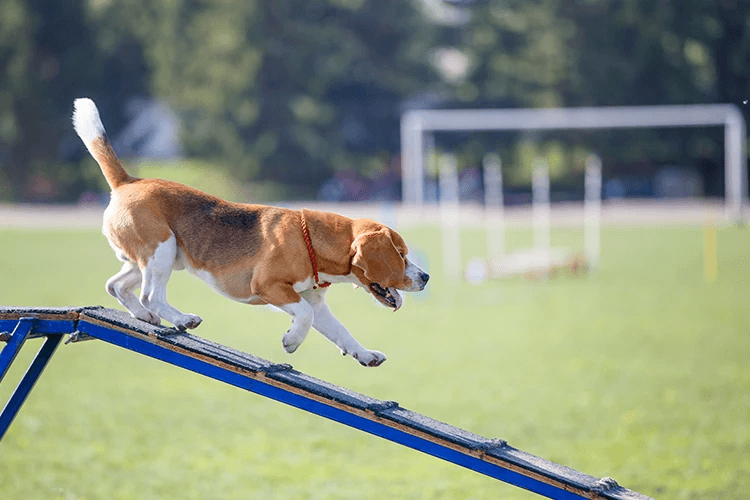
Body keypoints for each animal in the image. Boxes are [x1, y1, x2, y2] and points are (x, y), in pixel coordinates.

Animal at [76, 97, 432, 366]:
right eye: (401, 254)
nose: (426, 277)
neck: (310, 241)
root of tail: (128, 181)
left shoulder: (314, 302)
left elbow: (338, 329)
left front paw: (364, 354)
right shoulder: (269, 286)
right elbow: (304, 316)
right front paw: (292, 341)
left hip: (156, 258)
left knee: (116, 286)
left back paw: (145, 316)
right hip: (161, 251)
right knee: (150, 295)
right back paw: (181, 319)